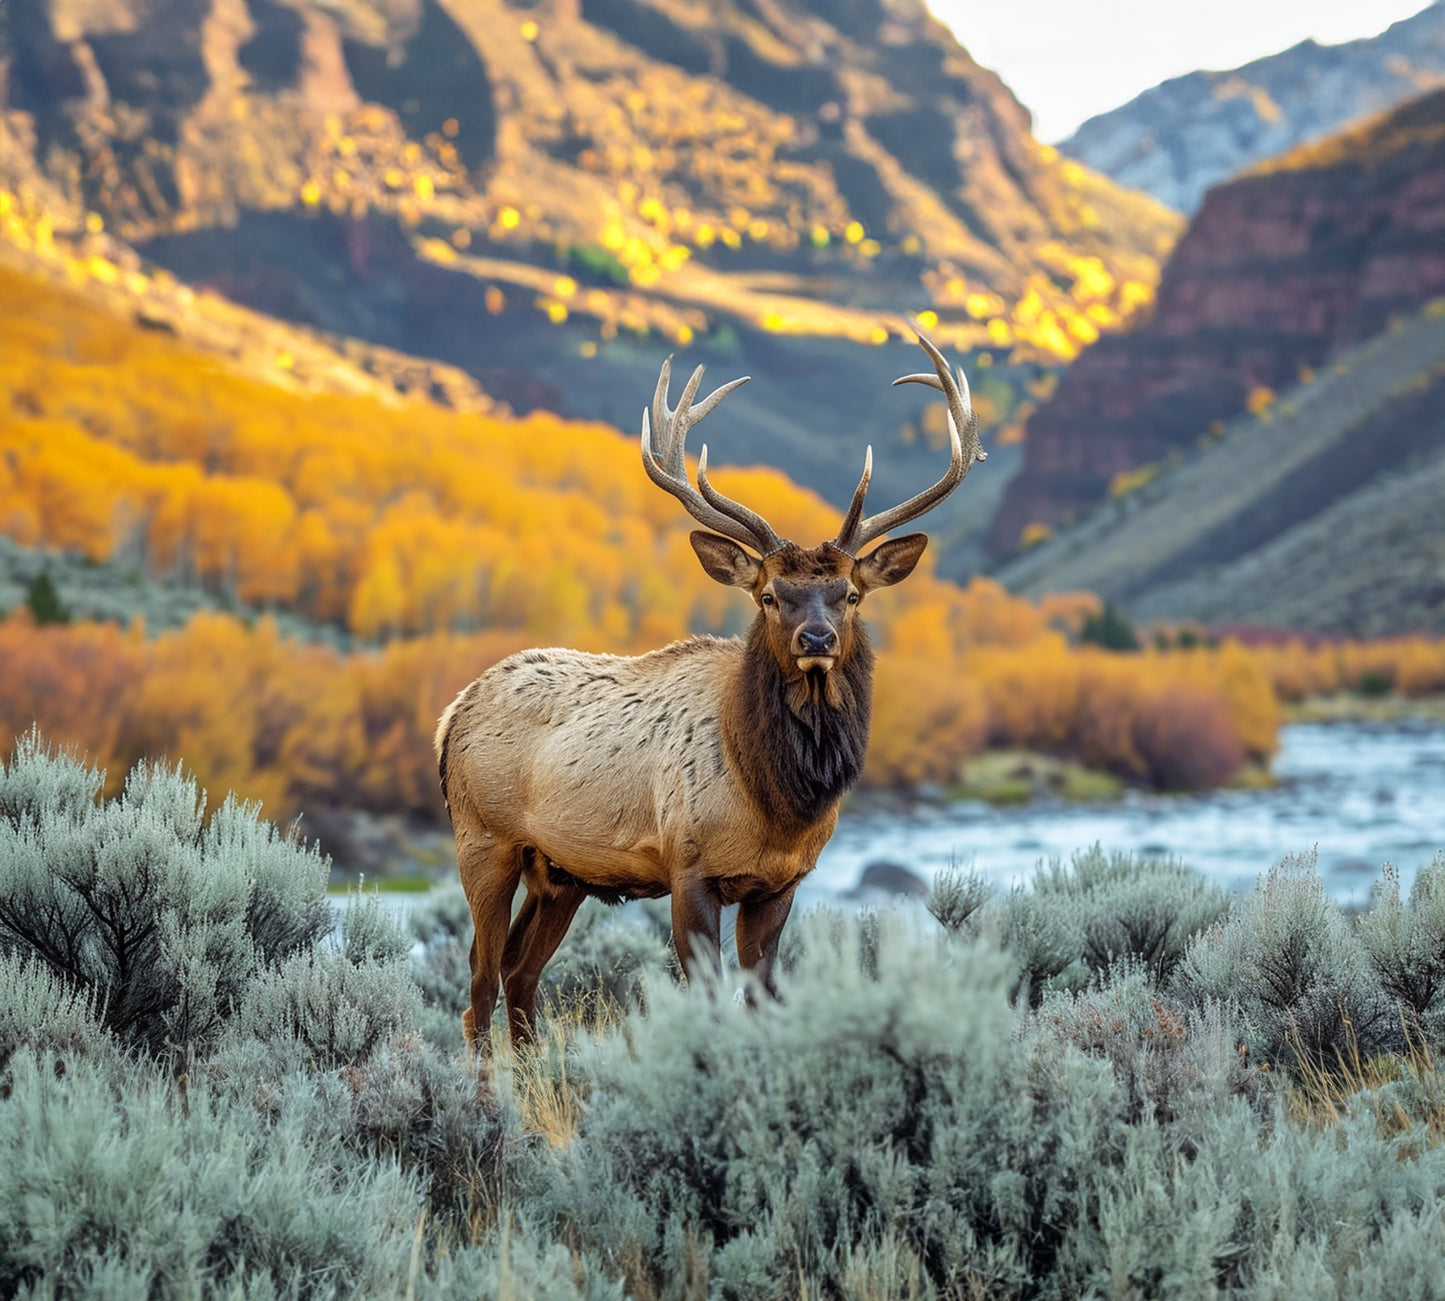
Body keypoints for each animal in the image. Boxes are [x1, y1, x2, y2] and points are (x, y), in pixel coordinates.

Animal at [433, 332, 988, 1046]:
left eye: (851, 595)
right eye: (768, 595)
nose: (815, 639)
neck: (778, 801)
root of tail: (453, 714)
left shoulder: (781, 882)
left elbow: (763, 996)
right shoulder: (686, 865)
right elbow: (704, 996)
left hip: (560, 871)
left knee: (519, 970)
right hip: (483, 838)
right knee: (478, 980)